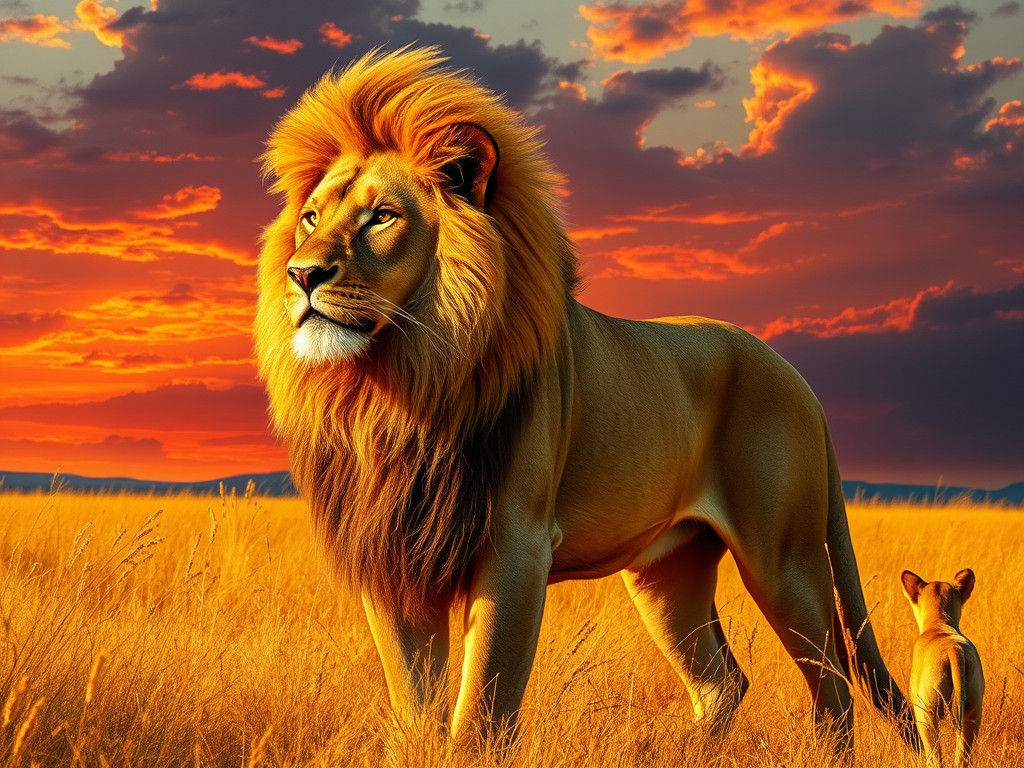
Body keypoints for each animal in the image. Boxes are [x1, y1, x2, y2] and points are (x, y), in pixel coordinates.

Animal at [254, 46, 919, 752]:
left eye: (382, 216)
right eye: (310, 218)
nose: (301, 274)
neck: (398, 387)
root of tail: (800, 380)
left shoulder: (516, 546)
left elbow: (481, 713)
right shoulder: (394, 553)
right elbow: (415, 707)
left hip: (786, 557)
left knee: (834, 687)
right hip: (668, 571)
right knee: (723, 680)